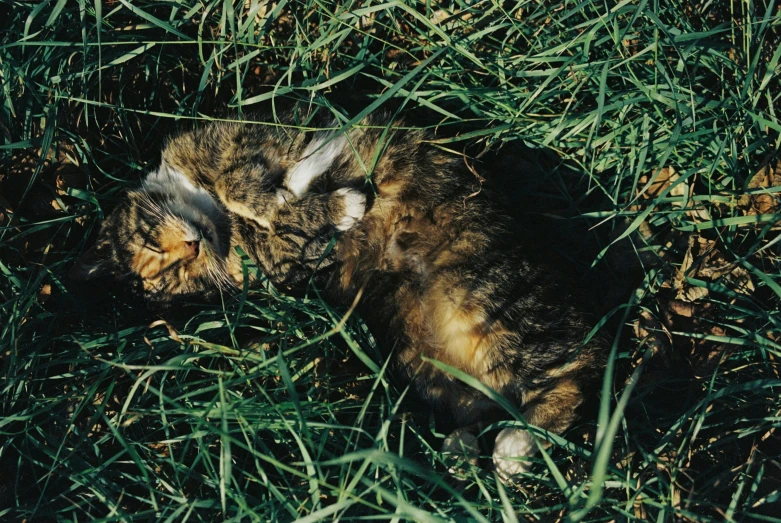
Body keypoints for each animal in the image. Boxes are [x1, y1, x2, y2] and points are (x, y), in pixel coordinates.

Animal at [73, 113, 608, 484]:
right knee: (487, 404)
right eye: (185, 281)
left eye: (155, 250)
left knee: (574, 377)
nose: (192, 248)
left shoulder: (246, 141)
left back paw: (514, 448)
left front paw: (300, 194)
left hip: (490, 304)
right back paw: (467, 451)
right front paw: (336, 206)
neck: (224, 227)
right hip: (425, 358)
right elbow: (290, 229)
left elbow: (242, 180)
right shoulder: (287, 263)